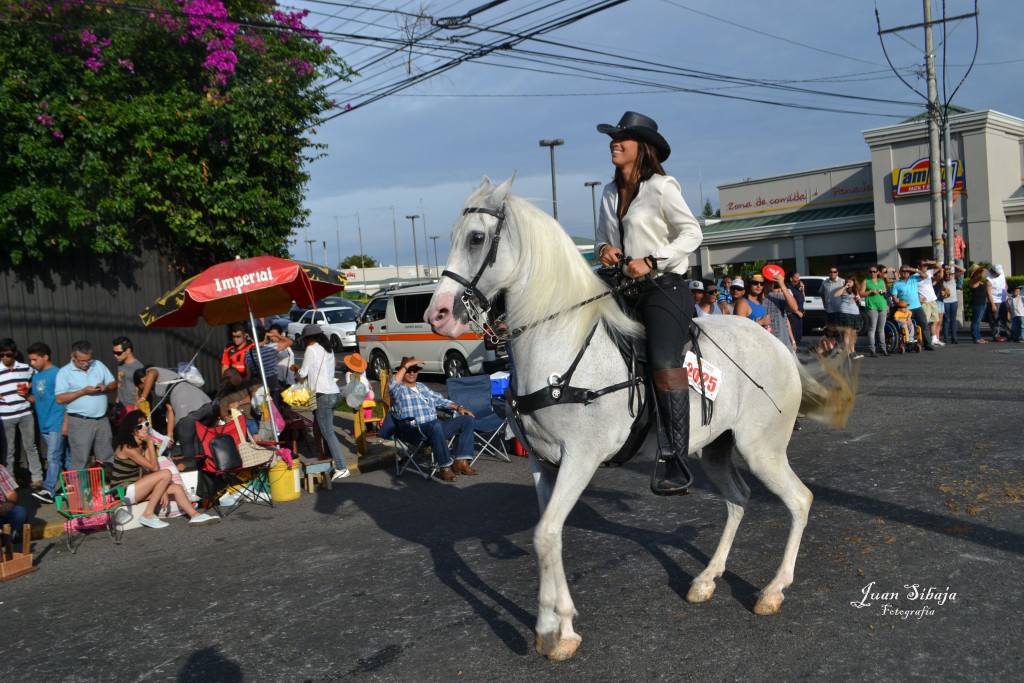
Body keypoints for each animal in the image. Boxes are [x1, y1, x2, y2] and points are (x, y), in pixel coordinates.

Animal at [423, 178, 856, 663]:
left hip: (762, 449)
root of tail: (779, 345)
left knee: (799, 500)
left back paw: (773, 590)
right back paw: (706, 579)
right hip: (716, 450)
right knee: (738, 500)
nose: (437, 314)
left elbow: (545, 534)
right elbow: (548, 537)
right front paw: (556, 628)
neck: (560, 348)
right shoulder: (543, 465)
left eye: (476, 238)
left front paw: (556, 629)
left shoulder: (581, 458)